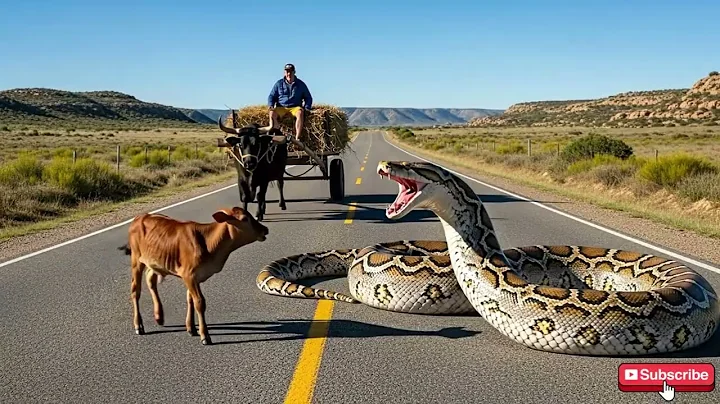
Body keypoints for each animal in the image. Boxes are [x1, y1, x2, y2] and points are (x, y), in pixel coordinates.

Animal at [117, 206, 269, 345]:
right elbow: (200, 302)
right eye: (244, 219)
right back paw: (138, 325)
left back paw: (159, 316)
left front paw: (191, 328)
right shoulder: (189, 275)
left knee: (150, 279)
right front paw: (205, 336)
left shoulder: (195, 277)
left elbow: (190, 299)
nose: (265, 229)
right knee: (135, 290)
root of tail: (140, 217)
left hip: (154, 261)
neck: (209, 244)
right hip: (136, 260)